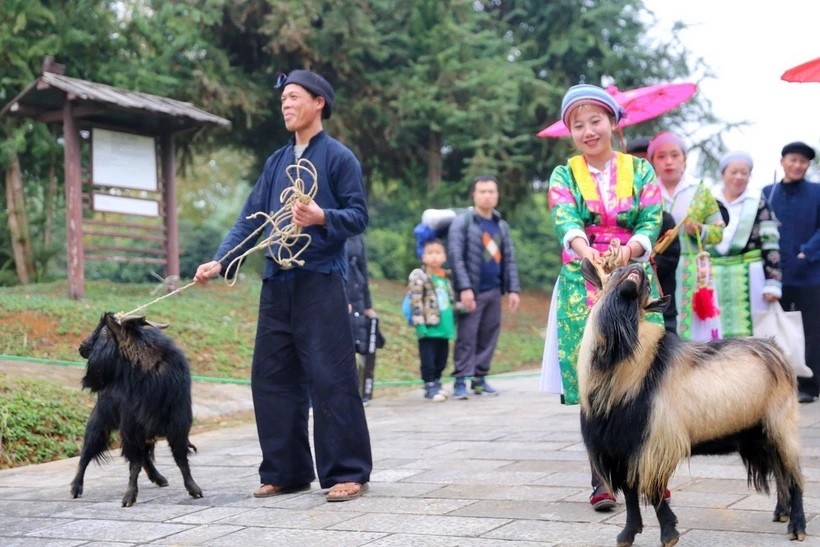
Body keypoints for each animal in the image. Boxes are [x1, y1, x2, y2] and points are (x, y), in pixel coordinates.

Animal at [72, 314, 203, 508]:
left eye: (102, 333)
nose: (82, 346)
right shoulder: (131, 427)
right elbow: (134, 465)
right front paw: (128, 497)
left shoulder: (178, 427)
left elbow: (181, 460)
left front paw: (194, 489)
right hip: (101, 418)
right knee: (88, 449)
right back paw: (75, 487)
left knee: (145, 456)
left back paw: (159, 478)